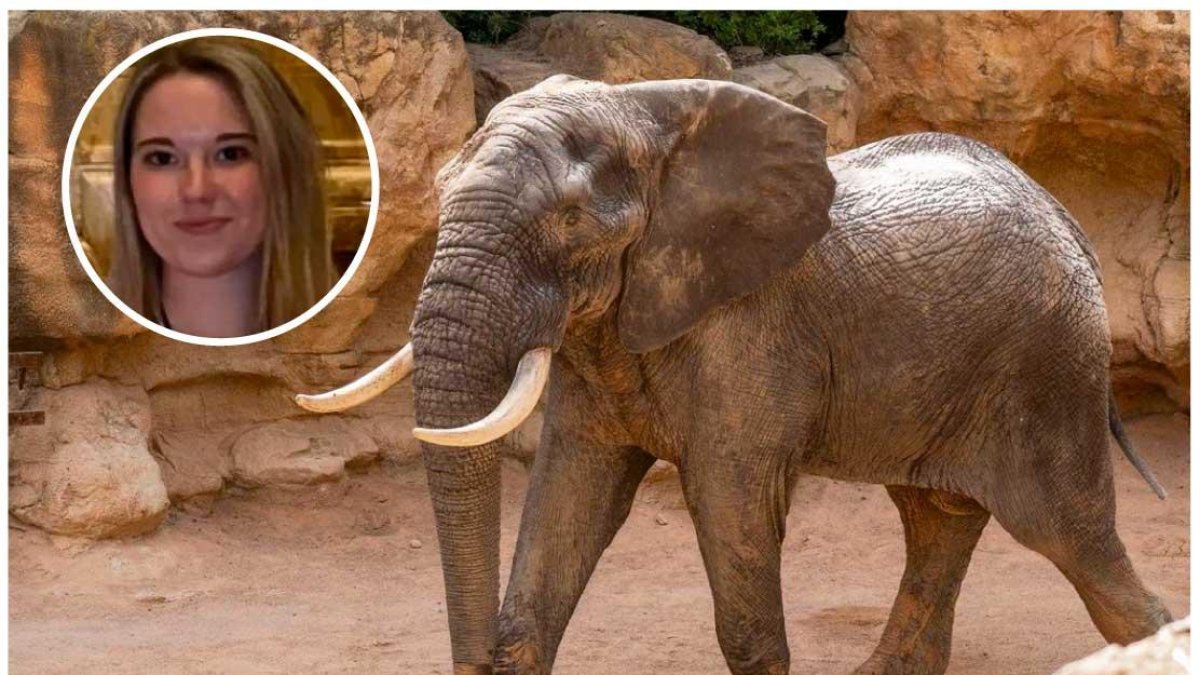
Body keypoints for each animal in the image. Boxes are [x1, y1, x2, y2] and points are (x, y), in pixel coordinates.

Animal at [296, 76, 1172, 674]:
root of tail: (1066, 216)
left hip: (1049, 365)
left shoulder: (749, 333)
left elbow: (731, 502)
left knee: (1074, 537)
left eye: (570, 221)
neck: (644, 115)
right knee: (936, 518)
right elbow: (572, 492)